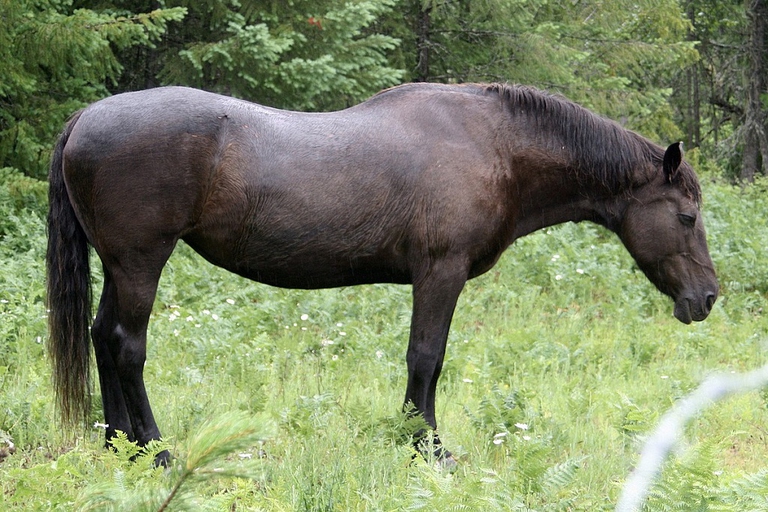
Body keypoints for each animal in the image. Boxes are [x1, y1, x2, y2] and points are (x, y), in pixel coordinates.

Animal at [46, 82, 718, 465]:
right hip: (142, 262)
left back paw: (118, 445)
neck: (494, 146)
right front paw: (428, 449)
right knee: (127, 347)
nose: (708, 297)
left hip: (120, 267)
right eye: (686, 216)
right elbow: (426, 358)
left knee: (103, 338)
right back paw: (156, 451)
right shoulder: (440, 273)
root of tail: (85, 117)